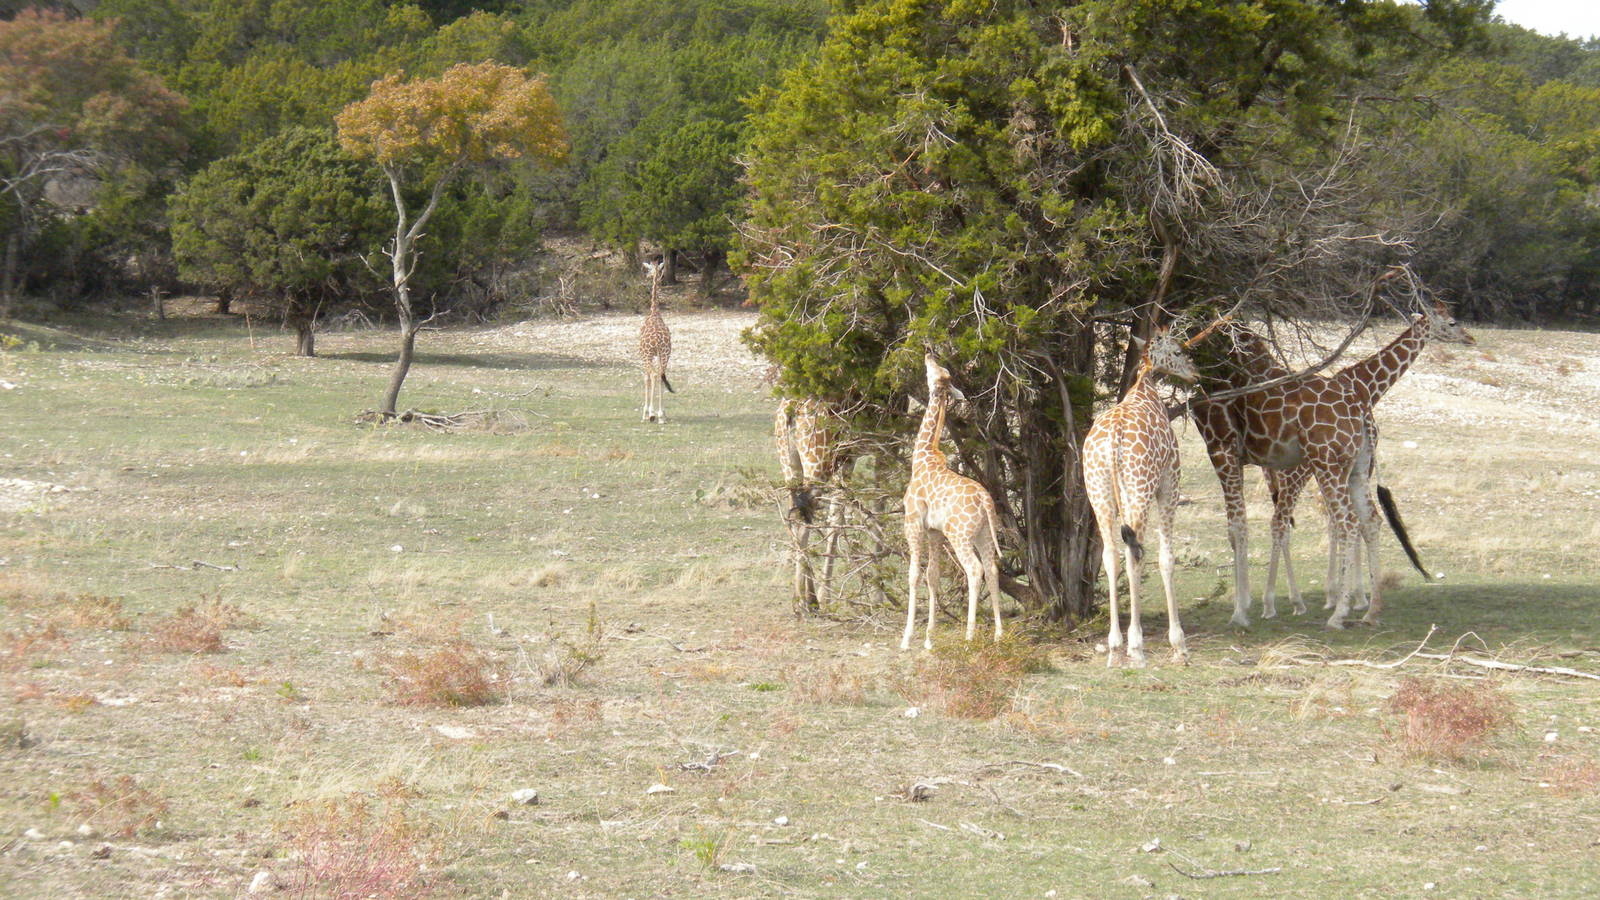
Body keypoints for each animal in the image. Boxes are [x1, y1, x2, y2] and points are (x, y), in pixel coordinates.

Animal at [901, 354, 1004, 651]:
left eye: (936, 370)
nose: (928, 355)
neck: (922, 458)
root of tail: (985, 499)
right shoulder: (935, 531)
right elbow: (932, 576)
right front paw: (929, 637)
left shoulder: (913, 523)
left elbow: (914, 575)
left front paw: (908, 637)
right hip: (983, 532)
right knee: (992, 569)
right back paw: (999, 634)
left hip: (959, 535)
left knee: (975, 569)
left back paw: (970, 636)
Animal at [1082, 325, 1202, 667]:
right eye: (1177, 350)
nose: (1195, 374)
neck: (1145, 390)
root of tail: (1113, 441)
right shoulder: (1169, 485)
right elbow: (1166, 558)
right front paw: (1179, 644)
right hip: (1139, 490)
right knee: (1133, 553)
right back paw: (1135, 647)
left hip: (1098, 494)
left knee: (1111, 555)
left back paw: (1114, 647)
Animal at [1192, 301, 1473, 629]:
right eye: (1452, 322)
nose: (1470, 338)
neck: (1364, 386)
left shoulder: (1226, 451)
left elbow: (1240, 527)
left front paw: (1244, 608)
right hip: (1323, 470)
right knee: (1351, 521)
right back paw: (1350, 608)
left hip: (1318, 469)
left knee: (1328, 522)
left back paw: (1317, 606)